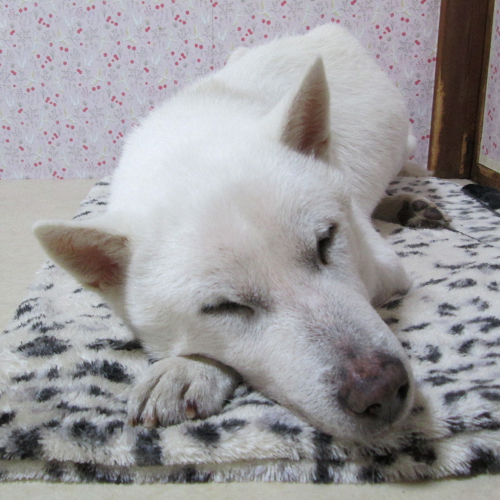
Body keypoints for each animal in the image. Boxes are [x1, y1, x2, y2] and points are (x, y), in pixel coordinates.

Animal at [34, 24, 449, 442]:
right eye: (224, 307)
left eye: (326, 241)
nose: (382, 390)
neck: (188, 139)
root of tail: (327, 31)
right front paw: (190, 365)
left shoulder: (383, 266)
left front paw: (186, 368)